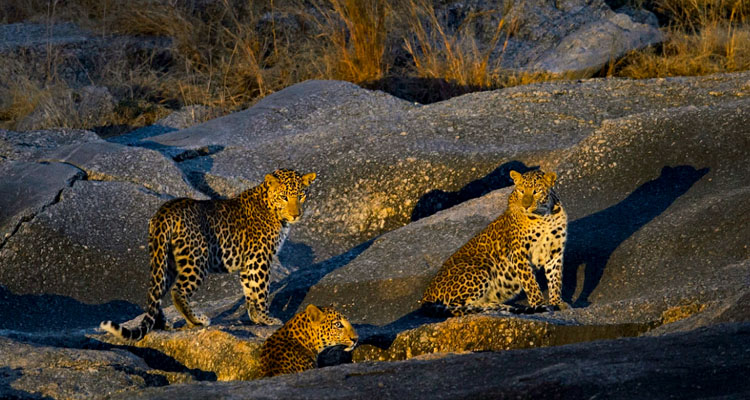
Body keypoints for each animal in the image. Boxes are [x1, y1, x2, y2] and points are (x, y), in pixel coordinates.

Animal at [98, 169, 316, 340]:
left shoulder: (248, 263)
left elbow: (250, 291)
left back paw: (163, 324)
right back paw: (197, 320)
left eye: (302, 196)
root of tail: (164, 211)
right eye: (284, 196)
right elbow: (261, 291)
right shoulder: (259, 258)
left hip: (165, 259)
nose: (296, 215)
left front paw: (256, 318)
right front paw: (267, 318)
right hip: (197, 259)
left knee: (156, 291)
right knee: (178, 291)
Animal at [424, 169, 568, 316]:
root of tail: (426, 296)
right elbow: (530, 283)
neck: (545, 217)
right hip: (481, 268)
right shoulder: (518, 254)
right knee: (456, 307)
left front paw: (557, 303)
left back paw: (501, 307)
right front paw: (539, 304)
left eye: (536, 191)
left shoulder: (555, 251)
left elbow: (555, 279)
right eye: (521, 191)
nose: (526, 206)